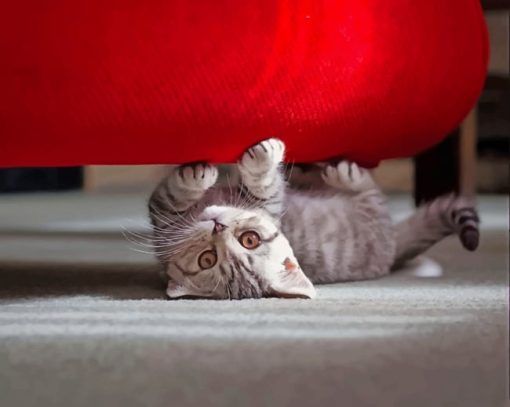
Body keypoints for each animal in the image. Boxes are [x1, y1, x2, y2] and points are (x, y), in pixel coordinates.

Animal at [147, 138, 478, 300]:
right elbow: (171, 196)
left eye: (249, 240)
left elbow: (263, 184)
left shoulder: (269, 202)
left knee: (367, 191)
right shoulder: (163, 220)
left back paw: (339, 172)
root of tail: (392, 247)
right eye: (207, 259)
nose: (218, 225)